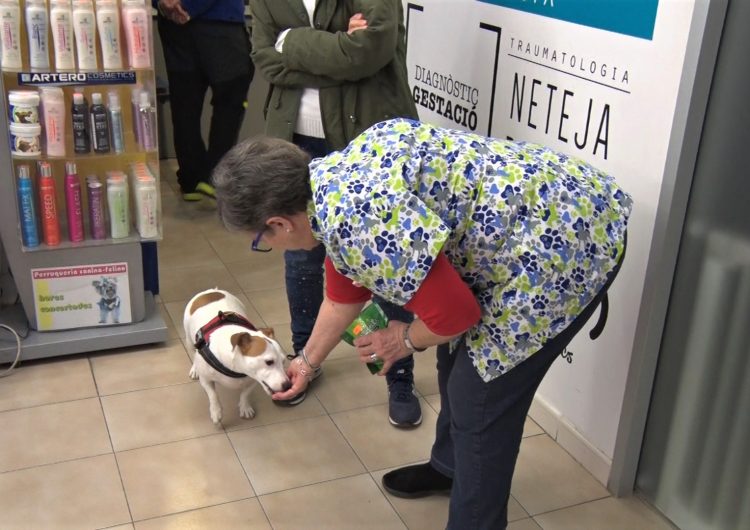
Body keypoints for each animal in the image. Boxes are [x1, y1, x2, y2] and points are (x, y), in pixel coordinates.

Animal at [186, 286, 294, 422]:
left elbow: (245, 394)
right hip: (189, 340)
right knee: (193, 351)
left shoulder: (253, 379)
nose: (288, 385)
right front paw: (216, 411)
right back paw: (194, 369)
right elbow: (213, 395)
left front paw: (245, 407)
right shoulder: (206, 379)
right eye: (269, 362)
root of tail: (211, 291)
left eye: (283, 361)